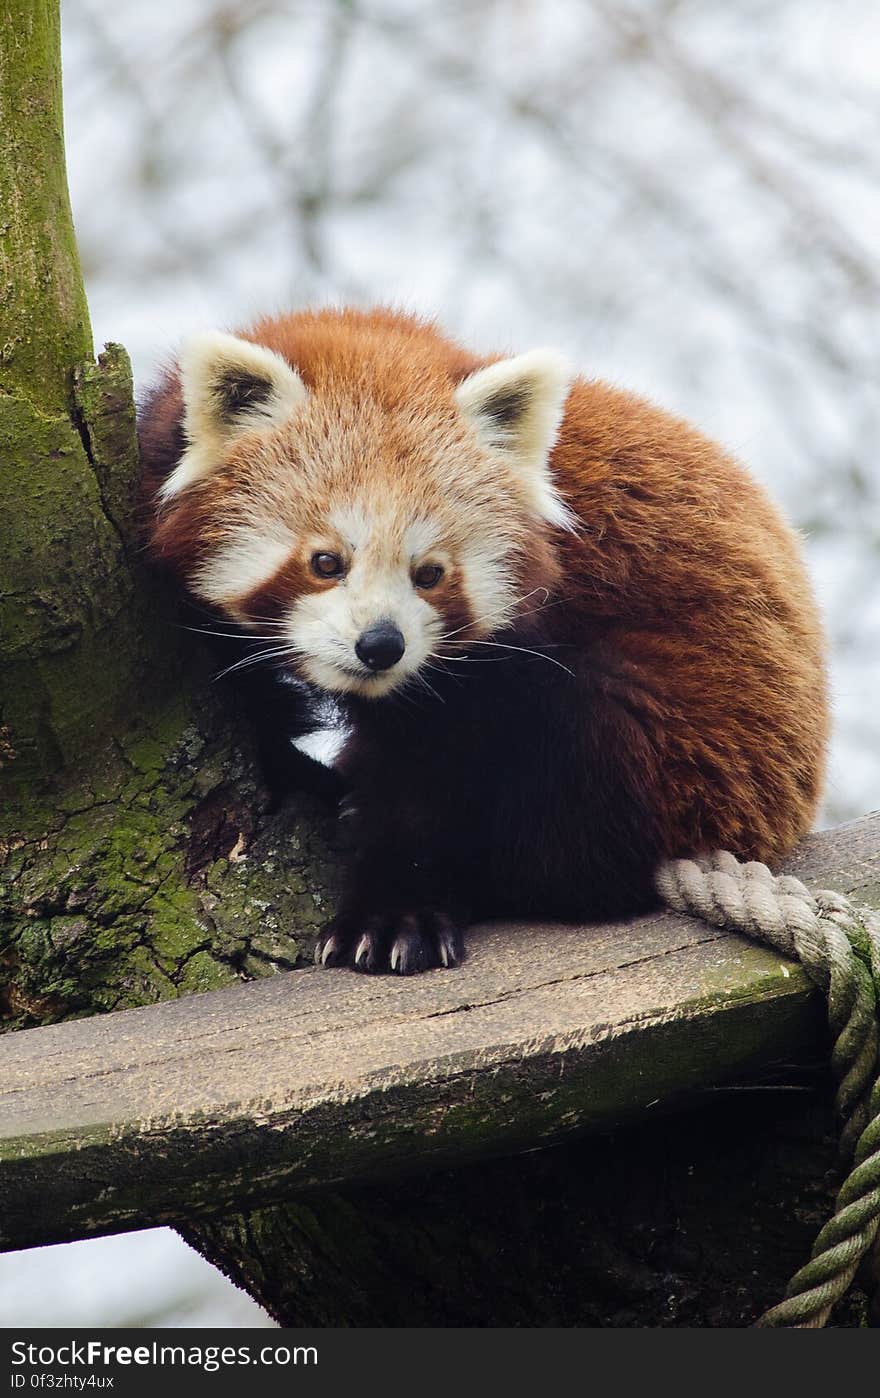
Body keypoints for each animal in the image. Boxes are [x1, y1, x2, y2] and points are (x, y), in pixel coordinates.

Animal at [140, 306, 828, 973]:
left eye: (430, 573)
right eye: (326, 561)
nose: (381, 646)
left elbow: (435, 783)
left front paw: (395, 913)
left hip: (689, 746)